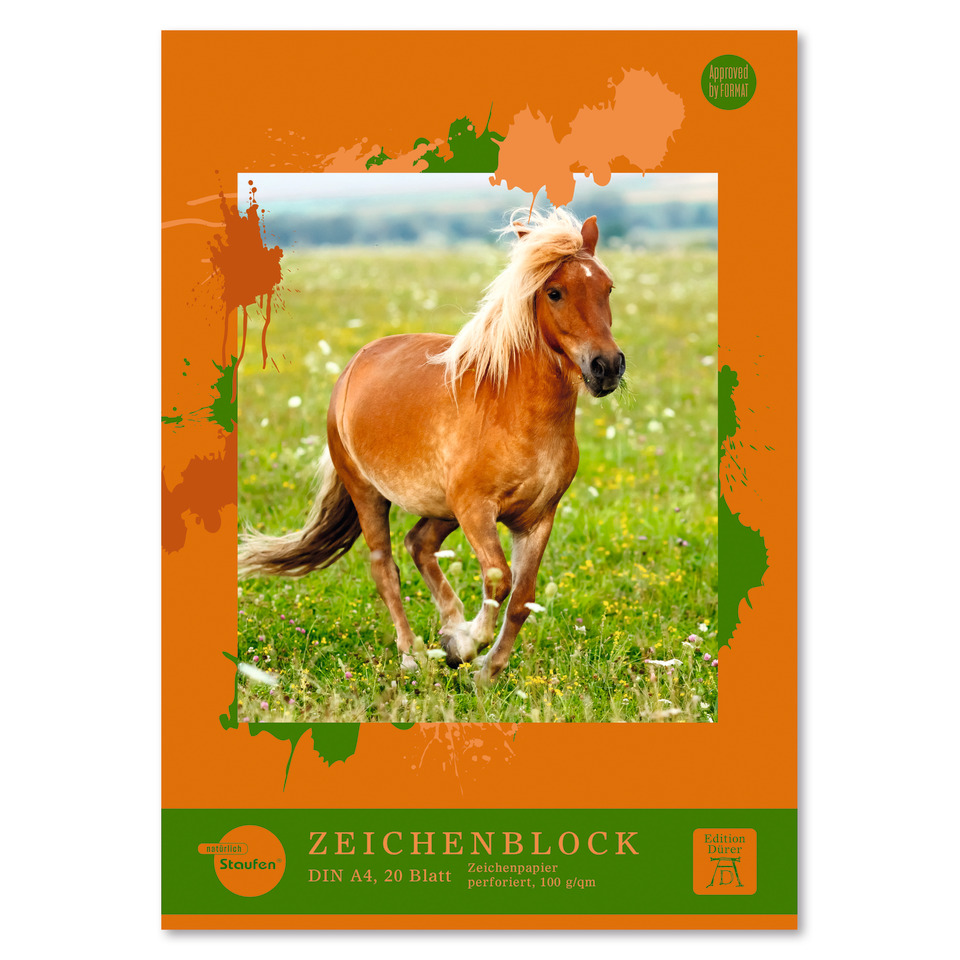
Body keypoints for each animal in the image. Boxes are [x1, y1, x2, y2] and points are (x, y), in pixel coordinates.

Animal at [239, 209, 624, 684]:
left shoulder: (536, 518)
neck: (514, 411)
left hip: (442, 509)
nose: (607, 366)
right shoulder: (476, 509)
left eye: (607, 288)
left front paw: (485, 671)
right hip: (371, 493)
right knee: (384, 566)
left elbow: (521, 599)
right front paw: (466, 644)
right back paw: (413, 654)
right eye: (555, 292)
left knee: (418, 543)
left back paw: (449, 627)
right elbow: (498, 579)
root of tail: (354, 365)